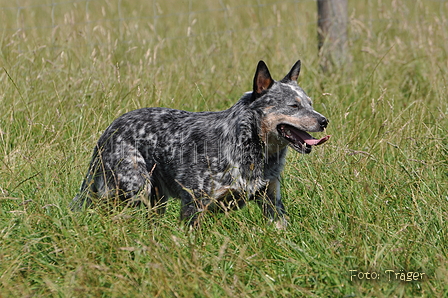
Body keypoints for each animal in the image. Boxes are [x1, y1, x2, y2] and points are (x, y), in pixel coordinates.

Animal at [70, 60, 328, 228]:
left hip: (155, 199)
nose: (325, 121)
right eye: (293, 106)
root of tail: (111, 127)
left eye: (310, 103)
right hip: (132, 189)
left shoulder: (273, 204)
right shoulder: (194, 205)